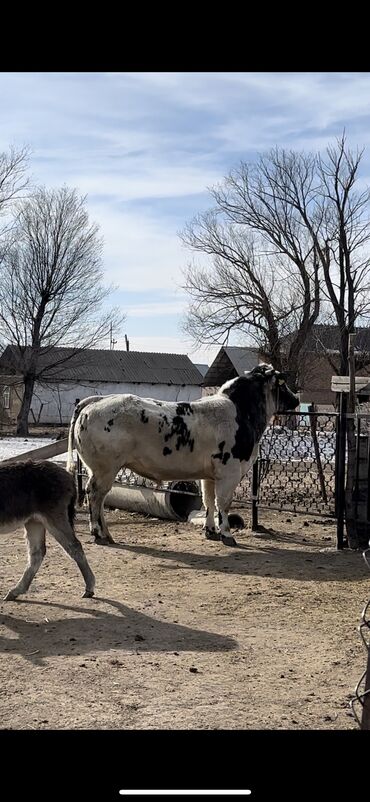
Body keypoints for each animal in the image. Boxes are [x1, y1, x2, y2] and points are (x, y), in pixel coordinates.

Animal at [66, 366, 298, 548]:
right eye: (283, 383)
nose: (296, 399)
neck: (240, 414)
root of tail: (96, 401)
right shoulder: (229, 472)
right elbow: (223, 504)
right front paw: (226, 534)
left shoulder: (209, 475)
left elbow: (208, 501)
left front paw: (210, 531)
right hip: (104, 469)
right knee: (95, 495)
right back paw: (98, 533)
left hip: (98, 469)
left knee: (100, 498)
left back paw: (107, 534)